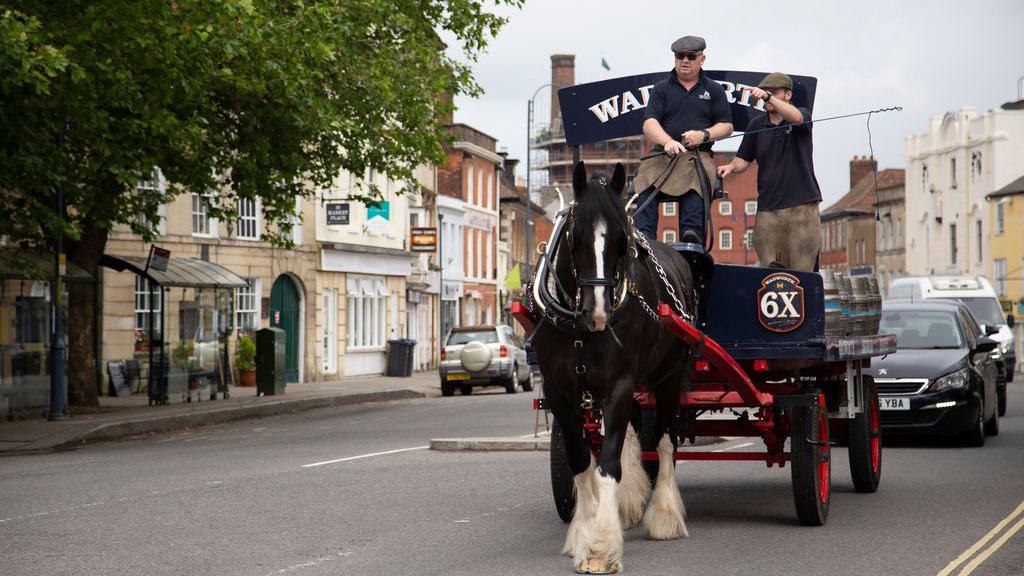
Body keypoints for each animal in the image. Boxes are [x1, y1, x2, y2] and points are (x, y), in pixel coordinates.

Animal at [532, 159, 692, 569]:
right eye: (575, 237)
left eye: (623, 241)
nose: (599, 313)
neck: (578, 328)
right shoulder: (560, 391)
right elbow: (582, 462)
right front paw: (582, 532)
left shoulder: (619, 384)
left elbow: (607, 467)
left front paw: (601, 545)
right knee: (634, 436)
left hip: (670, 375)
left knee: (666, 441)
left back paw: (664, 514)